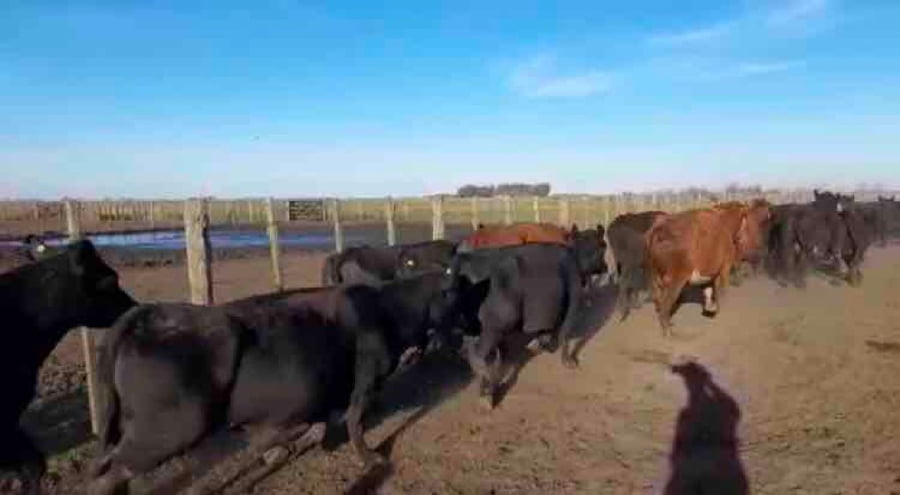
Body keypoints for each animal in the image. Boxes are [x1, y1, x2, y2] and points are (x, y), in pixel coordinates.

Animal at [88, 271, 459, 495]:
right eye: (458, 294)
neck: (387, 309)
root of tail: (148, 313)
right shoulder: (364, 384)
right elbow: (353, 424)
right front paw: (371, 460)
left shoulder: (315, 403)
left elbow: (312, 433)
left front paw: (274, 453)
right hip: (170, 430)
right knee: (110, 474)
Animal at [448, 243, 581, 409]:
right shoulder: (574, 290)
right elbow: (566, 331)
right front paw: (569, 363)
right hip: (492, 328)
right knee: (479, 355)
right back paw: (487, 398)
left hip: (477, 329)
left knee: (473, 353)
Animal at [646, 206, 750, 335]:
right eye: (745, 220)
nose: (745, 238)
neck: (724, 223)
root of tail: (660, 227)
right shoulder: (724, 269)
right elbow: (721, 292)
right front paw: (719, 313)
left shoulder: (708, 273)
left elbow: (707, 291)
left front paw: (709, 308)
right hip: (675, 280)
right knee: (665, 306)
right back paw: (668, 331)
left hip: (655, 277)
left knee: (659, 303)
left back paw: (669, 324)